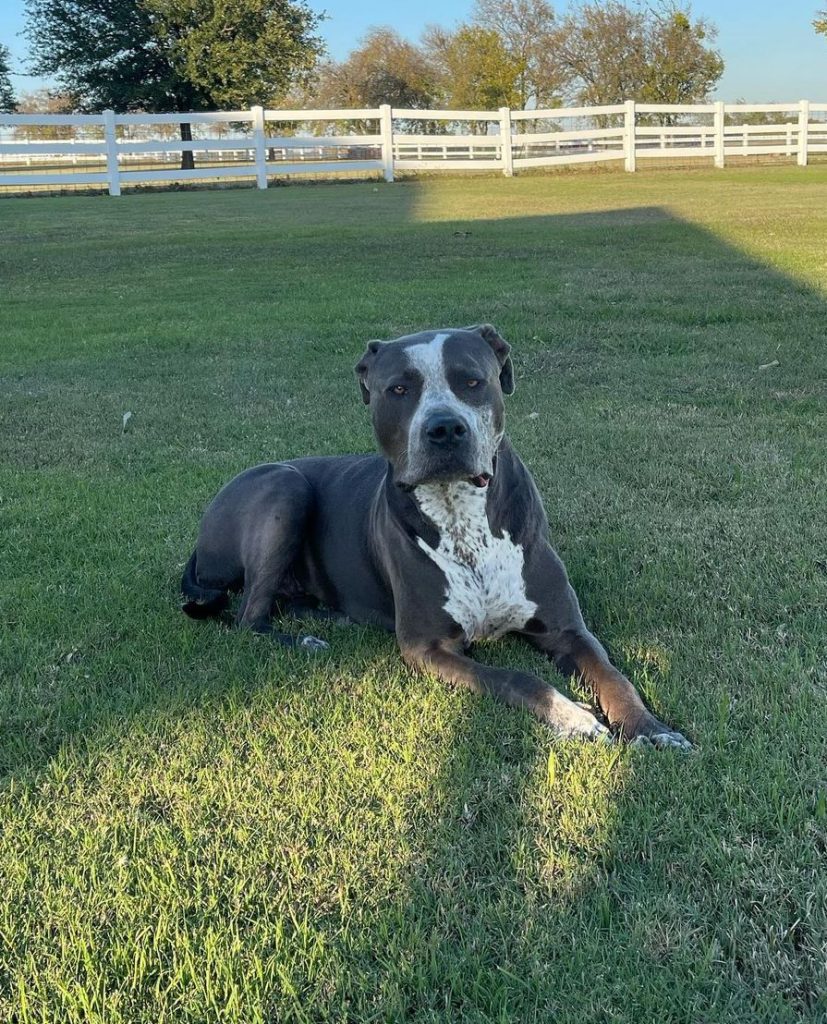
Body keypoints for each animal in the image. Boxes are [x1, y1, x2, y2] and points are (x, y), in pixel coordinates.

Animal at [181, 323, 691, 749]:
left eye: (472, 381)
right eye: (399, 389)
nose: (444, 427)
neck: (461, 516)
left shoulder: (567, 630)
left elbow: (614, 676)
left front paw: (651, 727)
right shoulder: (428, 648)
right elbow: (517, 679)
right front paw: (573, 716)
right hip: (284, 488)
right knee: (248, 618)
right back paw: (304, 640)